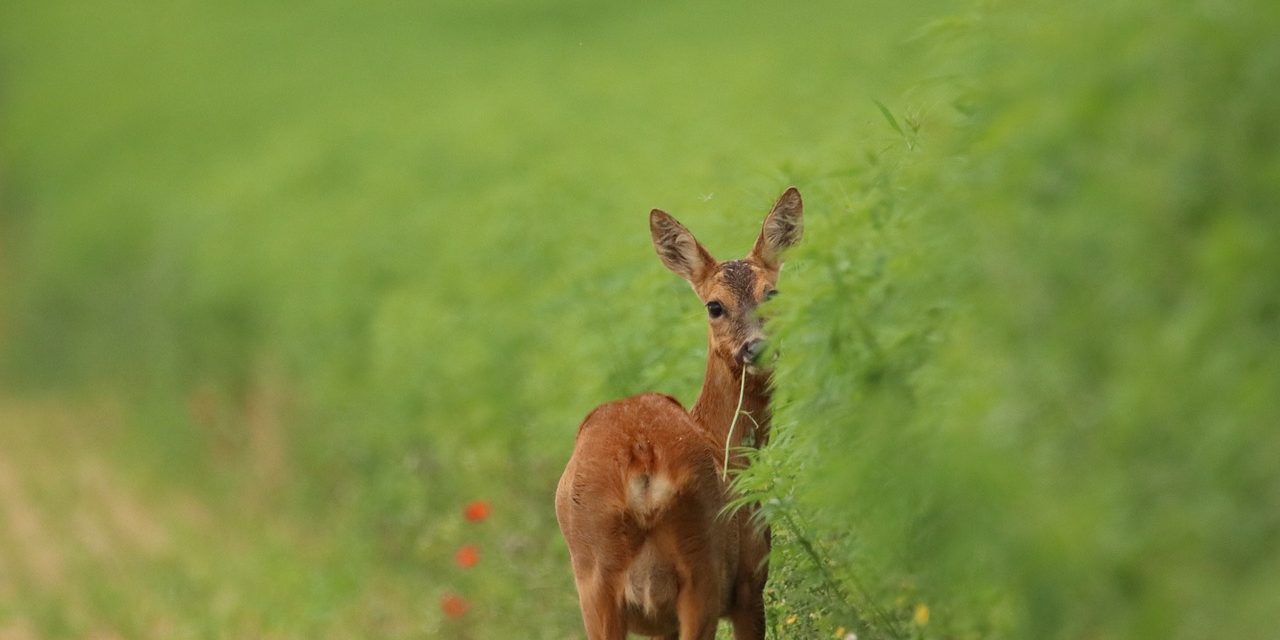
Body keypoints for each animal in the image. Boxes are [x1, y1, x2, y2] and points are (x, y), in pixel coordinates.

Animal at [558, 186, 803, 637]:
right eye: (714, 306)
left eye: (771, 293)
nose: (756, 347)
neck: (728, 445)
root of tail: (640, 459)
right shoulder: (750, 580)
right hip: (701, 563)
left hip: (594, 582)